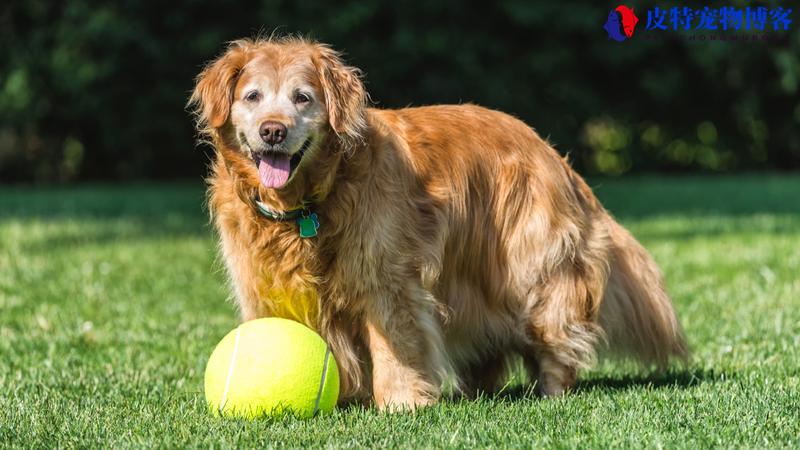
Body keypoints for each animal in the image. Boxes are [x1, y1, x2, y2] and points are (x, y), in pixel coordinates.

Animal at [189, 37, 688, 410]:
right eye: (252, 97)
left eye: (302, 98)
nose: (273, 130)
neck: (307, 204)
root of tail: (551, 152)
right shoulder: (266, 286)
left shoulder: (387, 275)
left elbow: (392, 341)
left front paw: (401, 401)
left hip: (530, 270)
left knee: (554, 334)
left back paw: (551, 389)